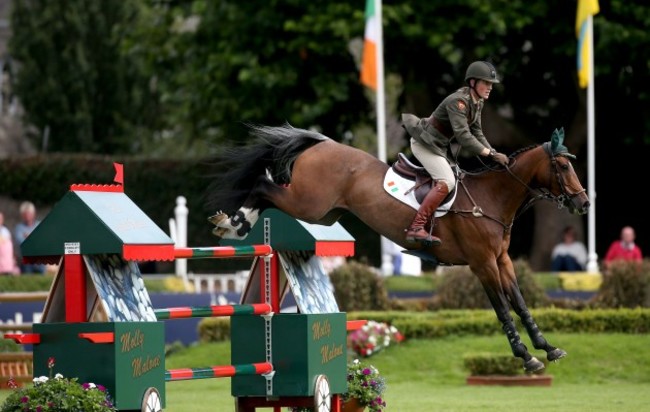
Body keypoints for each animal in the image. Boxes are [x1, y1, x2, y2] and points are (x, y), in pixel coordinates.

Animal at [205, 120, 588, 372]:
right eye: (563, 165)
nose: (584, 203)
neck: (491, 198)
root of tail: (322, 144)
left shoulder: (501, 260)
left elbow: (521, 304)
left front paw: (548, 347)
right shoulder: (483, 264)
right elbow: (503, 310)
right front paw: (526, 356)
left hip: (323, 212)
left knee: (268, 188)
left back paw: (235, 223)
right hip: (308, 203)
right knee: (263, 184)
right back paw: (234, 224)